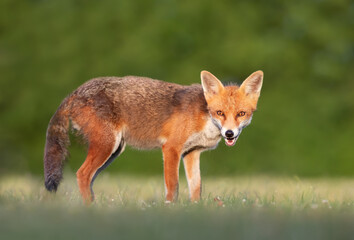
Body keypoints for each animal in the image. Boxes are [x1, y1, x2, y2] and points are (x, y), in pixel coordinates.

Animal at [42, 70, 262, 203]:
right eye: (220, 113)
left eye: (241, 114)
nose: (229, 133)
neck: (205, 118)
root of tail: (75, 92)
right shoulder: (171, 149)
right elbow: (173, 186)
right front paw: (170, 208)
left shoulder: (192, 153)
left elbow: (196, 187)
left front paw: (196, 209)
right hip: (107, 146)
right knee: (81, 174)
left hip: (113, 151)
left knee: (88, 179)